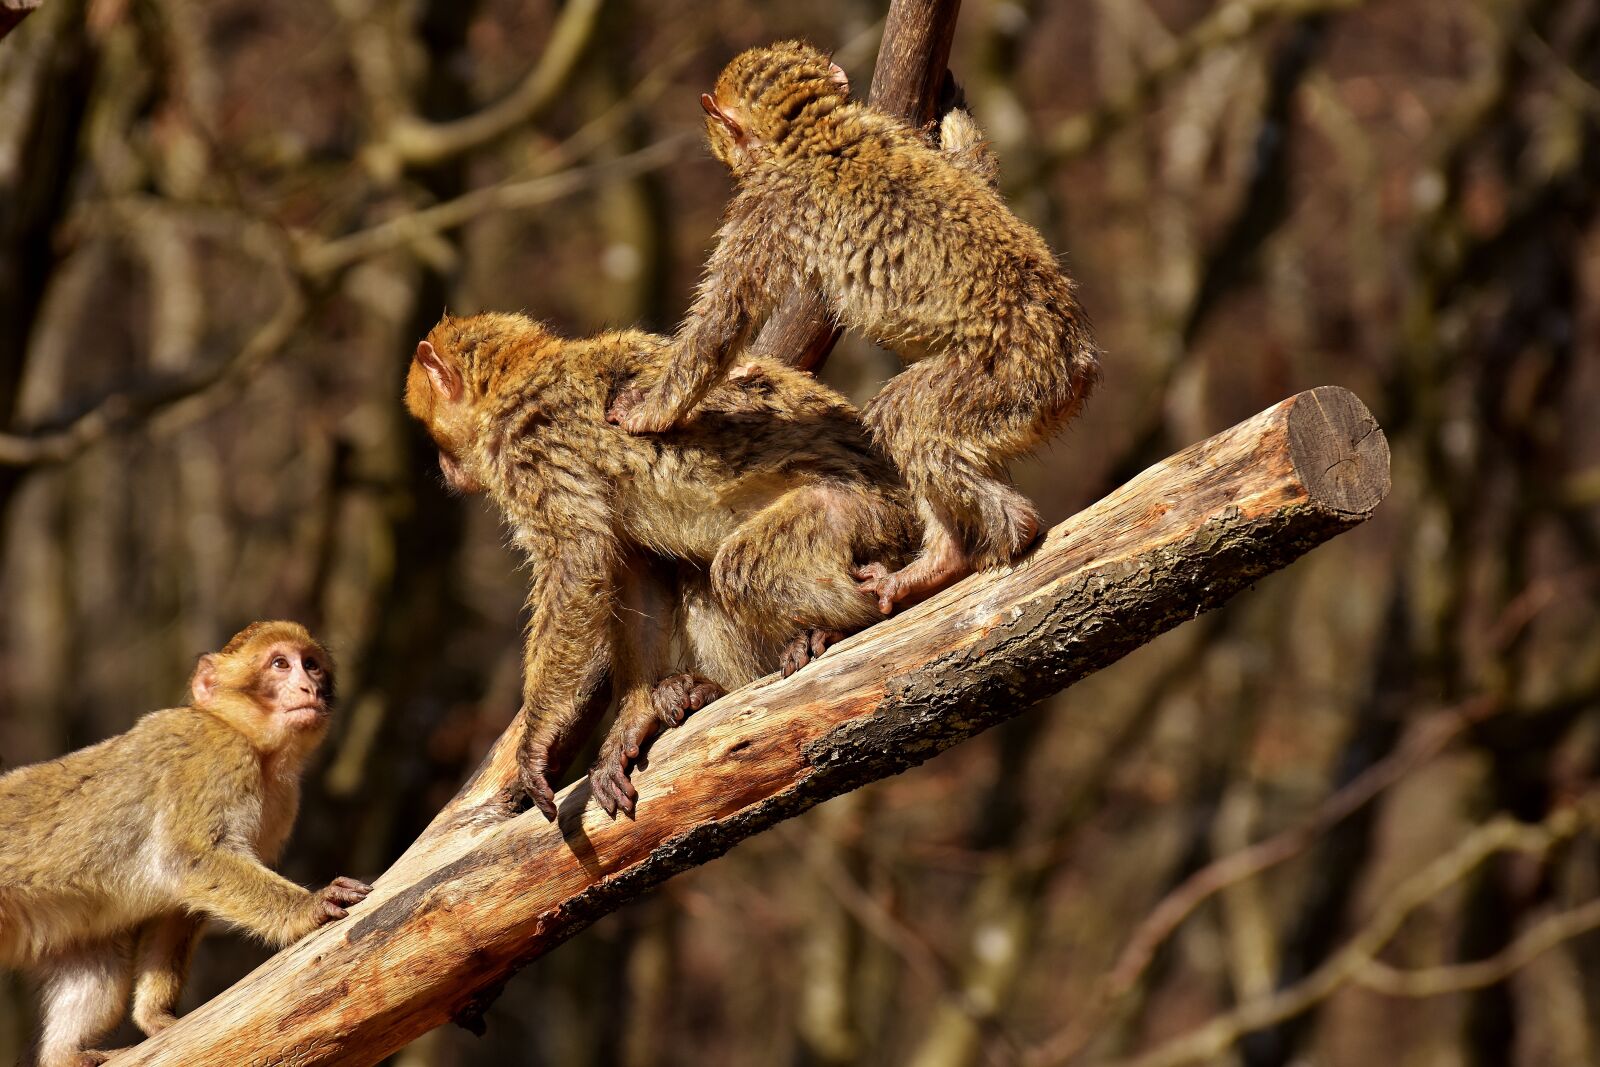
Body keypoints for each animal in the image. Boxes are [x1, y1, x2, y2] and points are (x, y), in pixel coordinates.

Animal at [0, 621, 373, 1067]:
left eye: (311, 665)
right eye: (281, 664)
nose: (308, 688)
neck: (252, 745)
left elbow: (176, 906)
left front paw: (154, 1015)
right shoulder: (214, 756)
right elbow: (187, 858)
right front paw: (310, 907)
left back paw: (67, 1054)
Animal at [404, 311, 918, 820]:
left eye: (435, 436)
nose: (444, 467)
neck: (515, 382)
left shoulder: (528, 453)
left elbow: (577, 567)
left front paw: (535, 742)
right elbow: (637, 574)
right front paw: (634, 718)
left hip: (868, 517)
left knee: (740, 567)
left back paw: (845, 624)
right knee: (699, 577)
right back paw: (711, 690)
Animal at [607, 40, 1101, 614]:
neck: (817, 130)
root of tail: (1077, 357)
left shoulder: (766, 207)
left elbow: (722, 324)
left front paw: (648, 412)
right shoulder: (887, 127)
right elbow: (975, 174)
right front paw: (951, 102)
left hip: (1010, 376)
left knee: (902, 415)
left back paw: (978, 544)